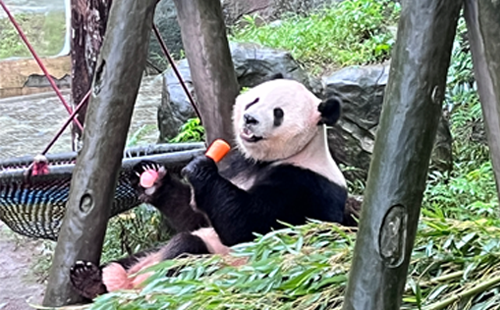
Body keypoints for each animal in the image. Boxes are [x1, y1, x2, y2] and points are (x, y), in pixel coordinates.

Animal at [69, 77, 356, 300]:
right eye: (254, 101)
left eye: (278, 113)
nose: (249, 119)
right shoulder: (239, 163)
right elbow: (195, 216)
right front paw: (151, 179)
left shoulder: (305, 185)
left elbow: (250, 227)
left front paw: (199, 168)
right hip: (146, 255)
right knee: (134, 256)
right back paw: (91, 279)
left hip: (215, 267)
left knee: (186, 250)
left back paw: (131, 287)